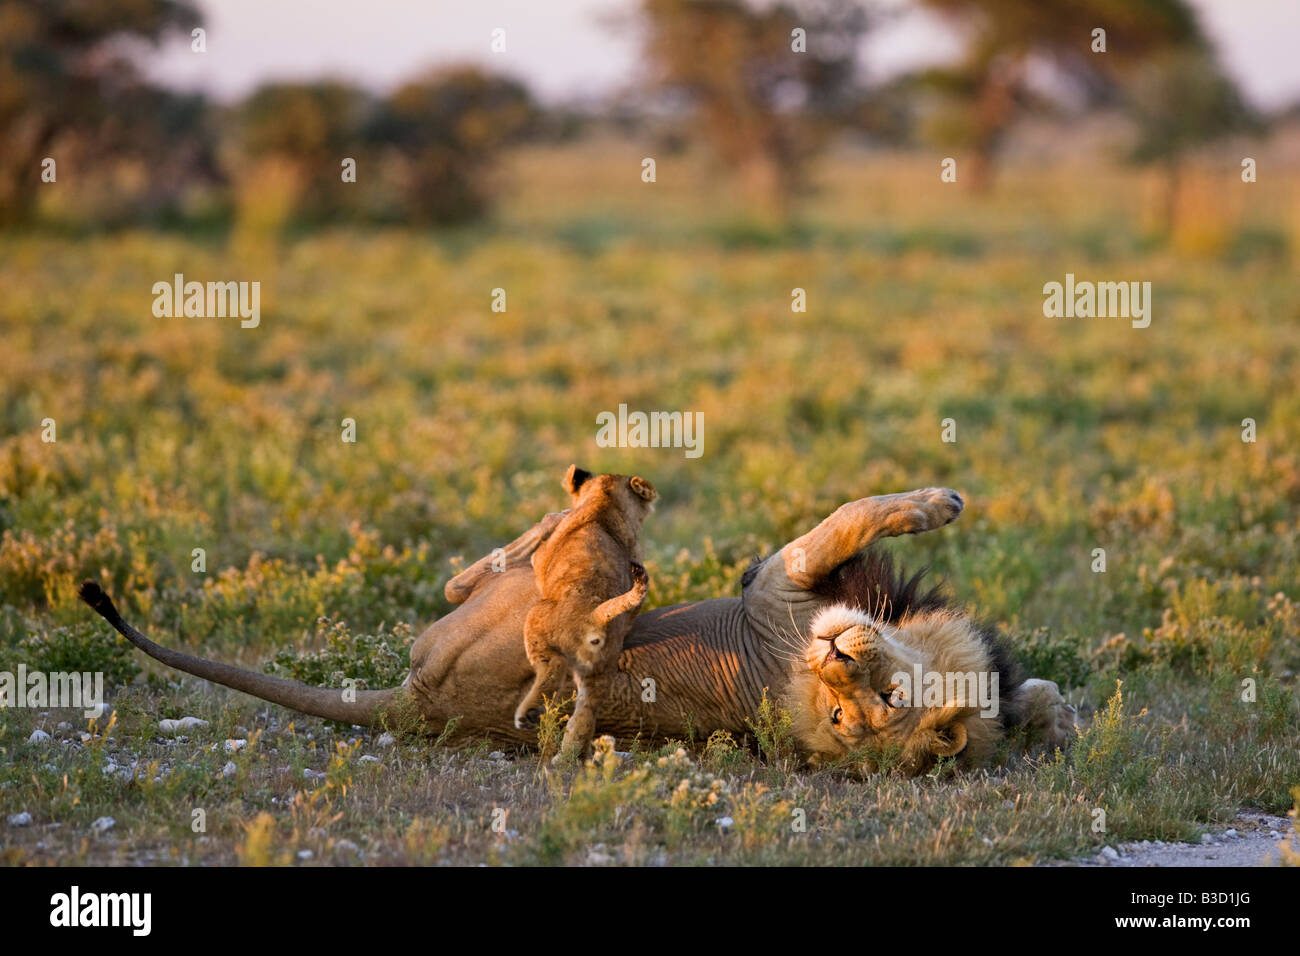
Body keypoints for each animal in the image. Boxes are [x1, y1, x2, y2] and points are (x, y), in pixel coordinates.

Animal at [81, 489, 1076, 775]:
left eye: (870, 709)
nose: (835, 654)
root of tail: (418, 705)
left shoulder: (782, 583)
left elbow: (854, 515)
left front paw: (937, 501)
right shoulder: (791, 586)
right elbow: (1037, 692)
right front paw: (1055, 717)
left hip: (533, 595)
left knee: (508, 560)